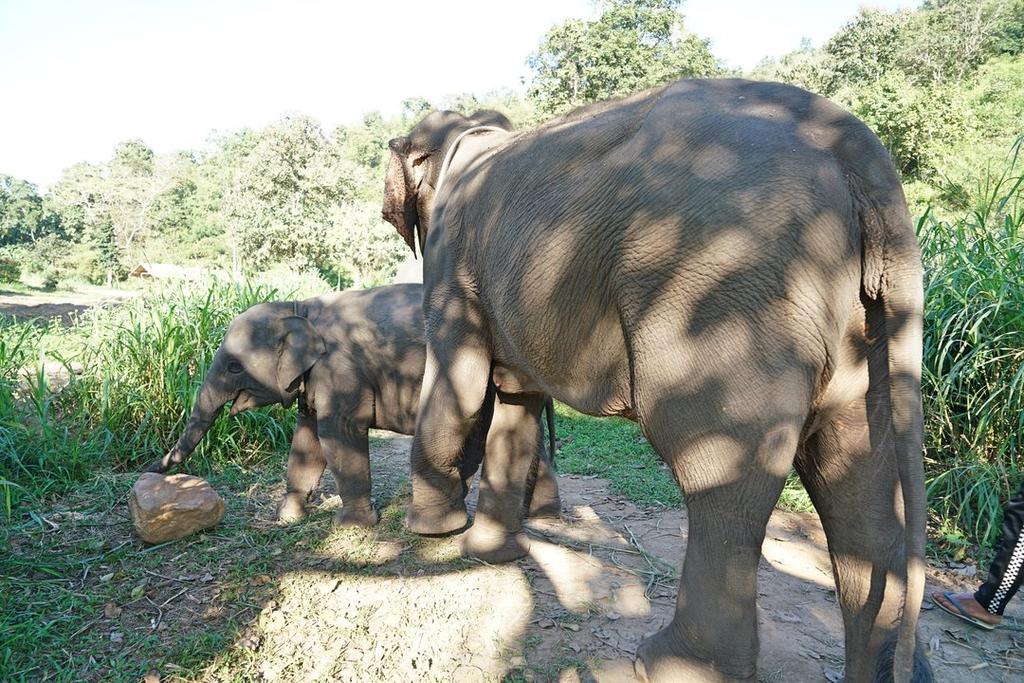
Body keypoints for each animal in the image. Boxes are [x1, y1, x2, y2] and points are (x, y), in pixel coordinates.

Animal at [146, 283, 561, 527]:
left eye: (233, 366)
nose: (151, 470)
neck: (300, 307)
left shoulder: (340, 369)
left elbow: (338, 433)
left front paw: (356, 526)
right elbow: (307, 438)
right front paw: (288, 518)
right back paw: (541, 520)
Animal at [381, 80, 931, 683]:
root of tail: (858, 150)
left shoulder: (451, 265)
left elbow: (460, 386)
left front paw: (430, 532)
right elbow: (516, 403)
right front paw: (489, 554)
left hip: (724, 289)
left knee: (720, 472)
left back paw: (666, 662)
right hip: (865, 327)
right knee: (860, 487)